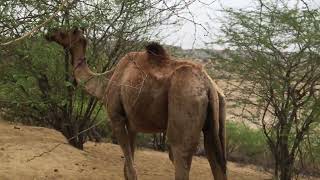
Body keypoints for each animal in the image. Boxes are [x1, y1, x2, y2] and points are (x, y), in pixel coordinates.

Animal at [45, 28, 228, 180]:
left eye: (63, 32)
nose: (49, 33)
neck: (107, 79)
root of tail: (208, 86)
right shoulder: (132, 124)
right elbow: (128, 165)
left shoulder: (117, 117)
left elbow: (131, 169)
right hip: (216, 120)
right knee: (217, 160)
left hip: (185, 105)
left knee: (179, 153)